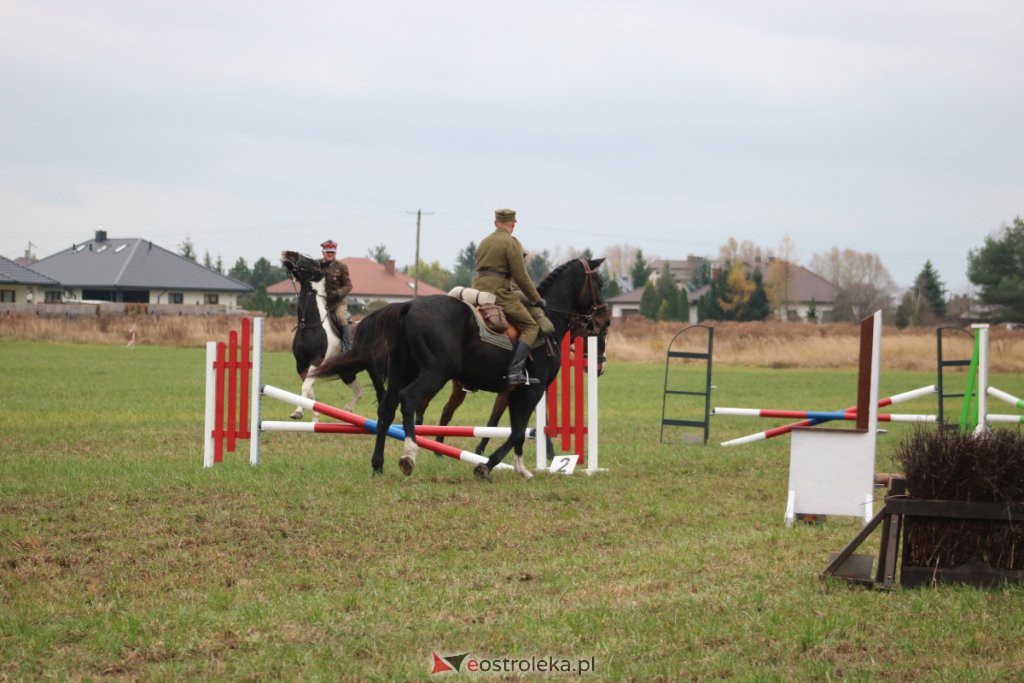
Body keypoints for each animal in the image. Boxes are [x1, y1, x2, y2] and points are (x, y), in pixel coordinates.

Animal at [313, 258, 606, 481]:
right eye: (600, 283)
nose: (603, 317)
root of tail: (408, 305)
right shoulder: (532, 390)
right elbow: (517, 431)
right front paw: (486, 465)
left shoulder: (517, 392)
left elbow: (518, 431)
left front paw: (521, 469)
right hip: (435, 373)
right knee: (409, 400)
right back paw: (409, 455)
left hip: (400, 372)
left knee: (386, 410)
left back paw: (378, 464)